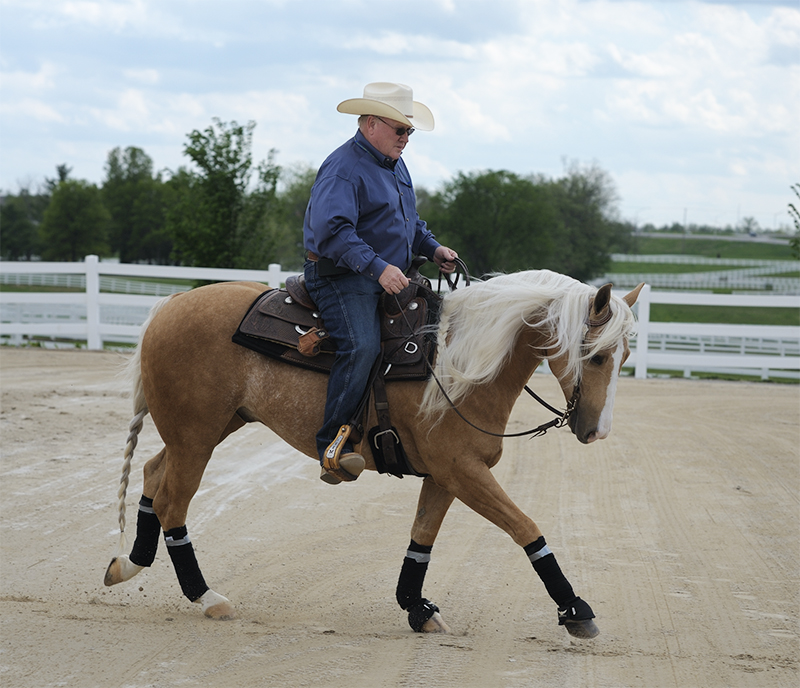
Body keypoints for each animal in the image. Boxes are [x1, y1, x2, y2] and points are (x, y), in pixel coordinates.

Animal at [104, 268, 644, 639]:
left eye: (624, 357)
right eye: (596, 355)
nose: (597, 432)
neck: (457, 363)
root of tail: (172, 302)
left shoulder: (445, 477)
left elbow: (421, 540)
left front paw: (417, 608)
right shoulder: (463, 472)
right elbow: (526, 528)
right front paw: (575, 610)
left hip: (207, 429)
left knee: (153, 476)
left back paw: (129, 564)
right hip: (195, 435)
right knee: (174, 502)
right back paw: (207, 597)